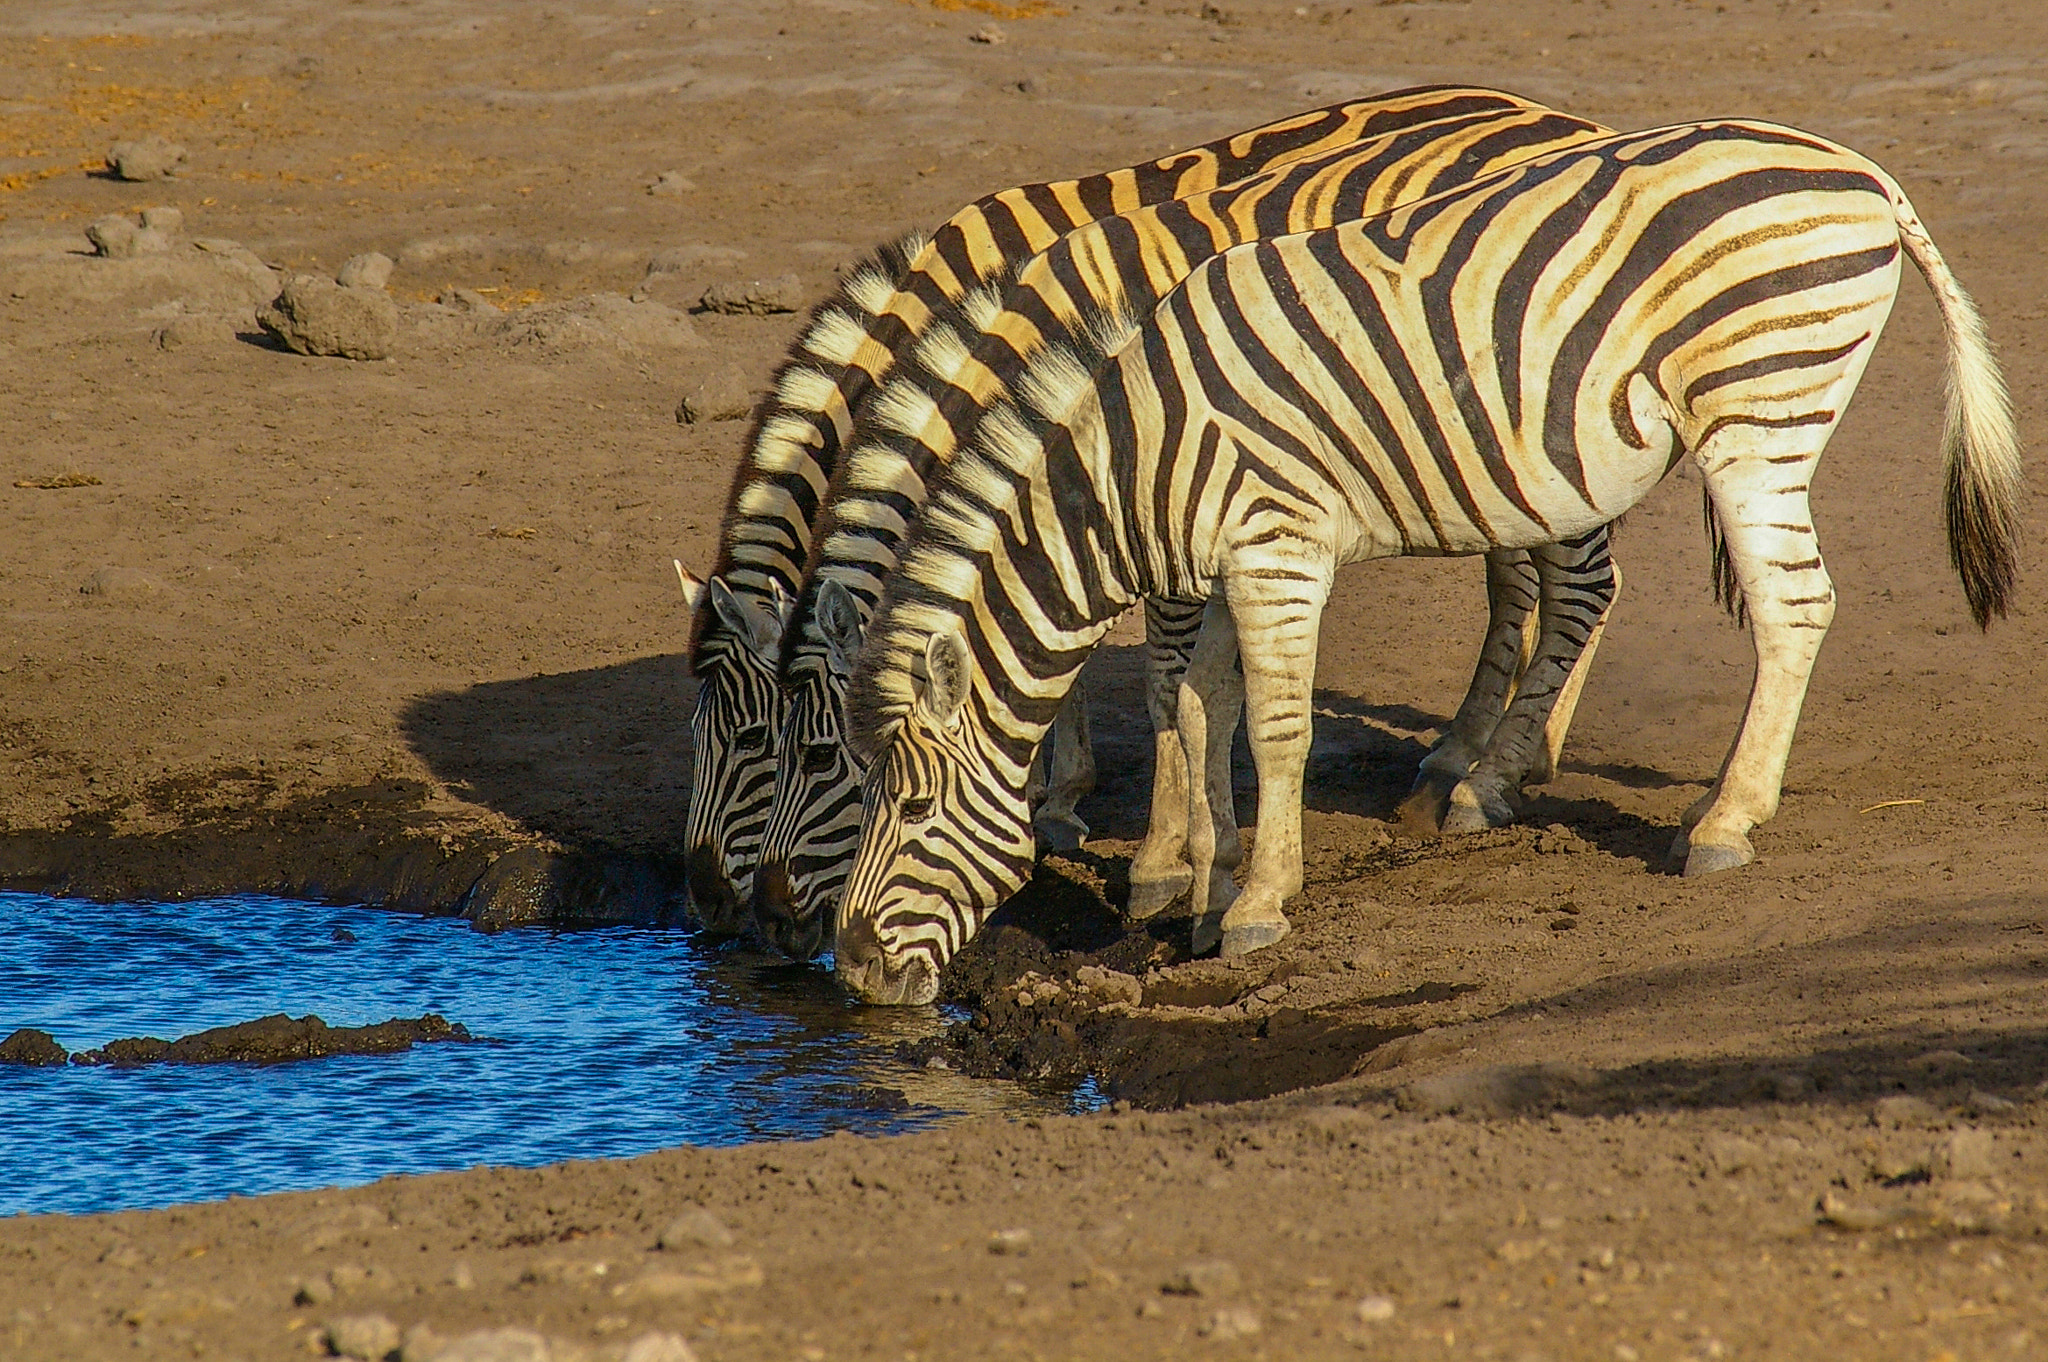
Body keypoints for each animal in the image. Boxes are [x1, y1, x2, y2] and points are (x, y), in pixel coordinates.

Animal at [663, 82, 1572, 933]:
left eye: (806, 754)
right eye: (730, 740)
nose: (722, 907)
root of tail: (1544, 112)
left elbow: (1163, 684)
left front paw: (1158, 860)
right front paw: (1054, 798)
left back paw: (1493, 770)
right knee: (1528, 576)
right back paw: (1494, 754)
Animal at [827, 119, 2015, 999]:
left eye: (913, 810)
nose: (851, 968)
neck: (1137, 458)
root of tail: (1856, 166)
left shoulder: (1276, 544)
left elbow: (1274, 725)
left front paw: (1257, 906)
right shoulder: (1229, 565)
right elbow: (1203, 705)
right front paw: (1207, 888)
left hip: (1758, 407)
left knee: (1792, 605)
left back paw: (1722, 823)